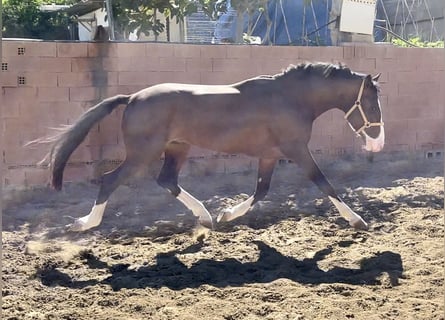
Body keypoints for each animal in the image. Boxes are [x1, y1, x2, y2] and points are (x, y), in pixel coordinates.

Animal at [41, 62, 384, 232]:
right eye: (370, 103)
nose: (377, 143)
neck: (290, 98)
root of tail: (133, 98)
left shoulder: (270, 155)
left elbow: (261, 191)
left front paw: (227, 215)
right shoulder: (296, 149)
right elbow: (325, 184)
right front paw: (358, 220)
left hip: (177, 148)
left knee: (167, 180)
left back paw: (206, 217)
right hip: (142, 154)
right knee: (110, 180)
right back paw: (84, 223)